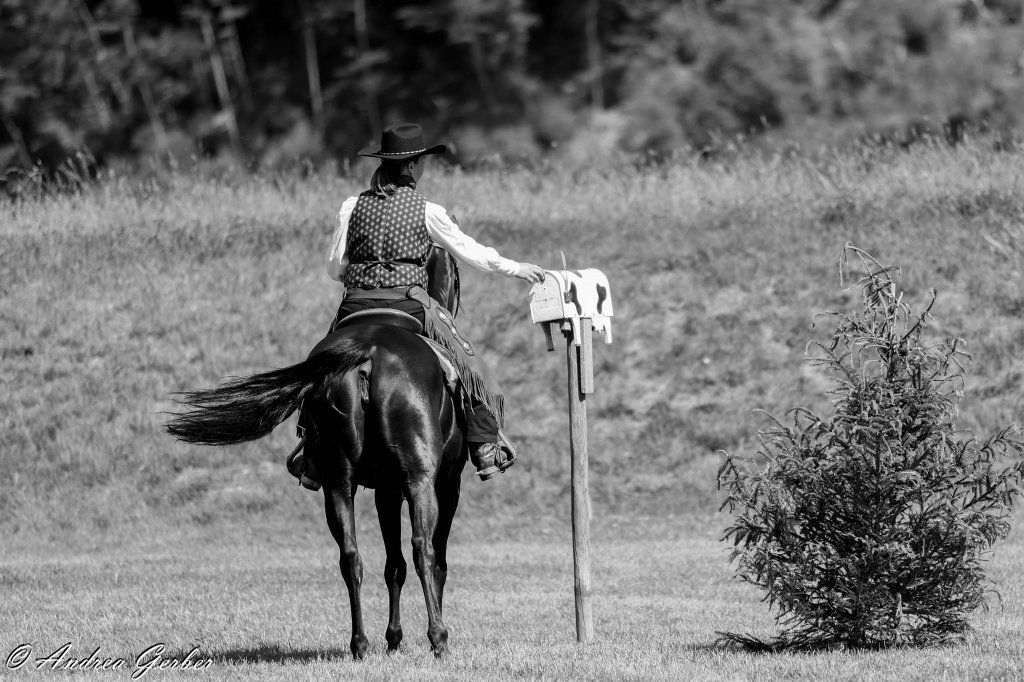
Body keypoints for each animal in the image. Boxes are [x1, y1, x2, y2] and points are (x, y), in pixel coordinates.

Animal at [166, 247, 466, 659]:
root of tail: (368, 352)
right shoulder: (446, 483)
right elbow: (433, 561)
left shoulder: (386, 490)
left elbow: (393, 564)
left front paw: (393, 638)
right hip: (419, 480)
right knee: (424, 549)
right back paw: (438, 638)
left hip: (337, 481)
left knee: (351, 556)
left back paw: (360, 644)